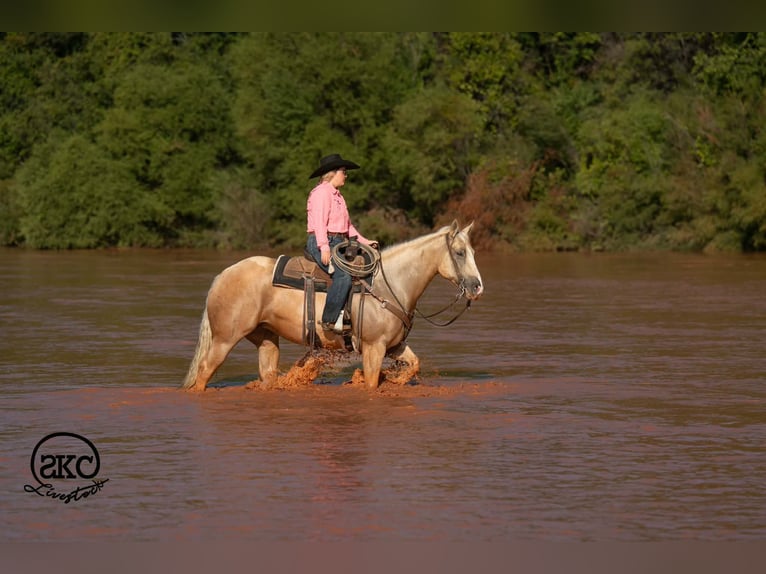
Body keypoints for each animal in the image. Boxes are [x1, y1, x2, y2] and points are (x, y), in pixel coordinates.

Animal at [182, 220, 483, 392]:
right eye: (459, 253)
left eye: (473, 251)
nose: (477, 287)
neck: (389, 285)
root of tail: (223, 275)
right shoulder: (373, 348)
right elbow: (371, 383)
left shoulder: (394, 346)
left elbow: (414, 365)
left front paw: (396, 380)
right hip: (225, 339)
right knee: (203, 372)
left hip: (265, 338)